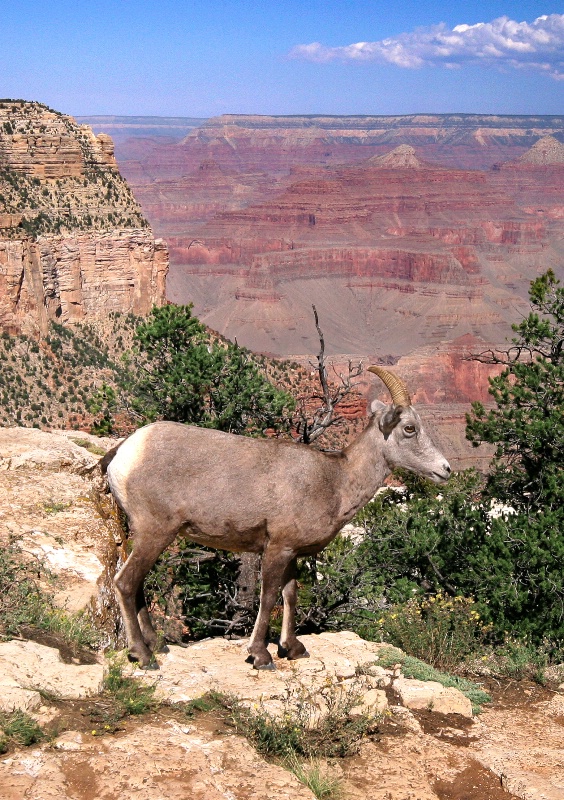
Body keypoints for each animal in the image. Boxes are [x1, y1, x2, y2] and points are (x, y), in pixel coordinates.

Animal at [104, 368, 450, 668]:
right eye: (409, 428)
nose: (445, 469)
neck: (335, 481)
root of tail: (124, 452)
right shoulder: (276, 548)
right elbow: (269, 596)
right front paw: (260, 655)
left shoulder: (292, 553)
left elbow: (290, 594)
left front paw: (293, 649)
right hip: (155, 532)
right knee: (124, 582)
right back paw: (143, 656)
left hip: (146, 535)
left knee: (137, 583)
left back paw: (157, 645)